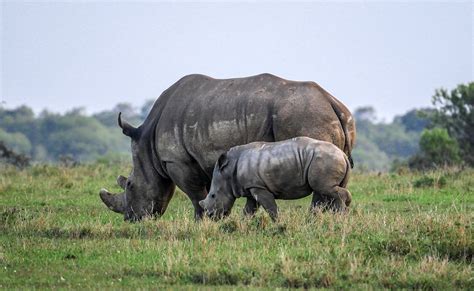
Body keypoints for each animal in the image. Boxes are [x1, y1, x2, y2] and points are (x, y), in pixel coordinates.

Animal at [198, 137, 350, 221]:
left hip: (325, 160)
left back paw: (340, 217)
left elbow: (271, 208)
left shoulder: (259, 187)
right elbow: (248, 210)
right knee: (323, 192)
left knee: (325, 189)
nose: (211, 217)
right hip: (326, 160)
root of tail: (343, 154)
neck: (228, 171)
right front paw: (243, 225)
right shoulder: (252, 187)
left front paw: (279, 223)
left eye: (213, 195)